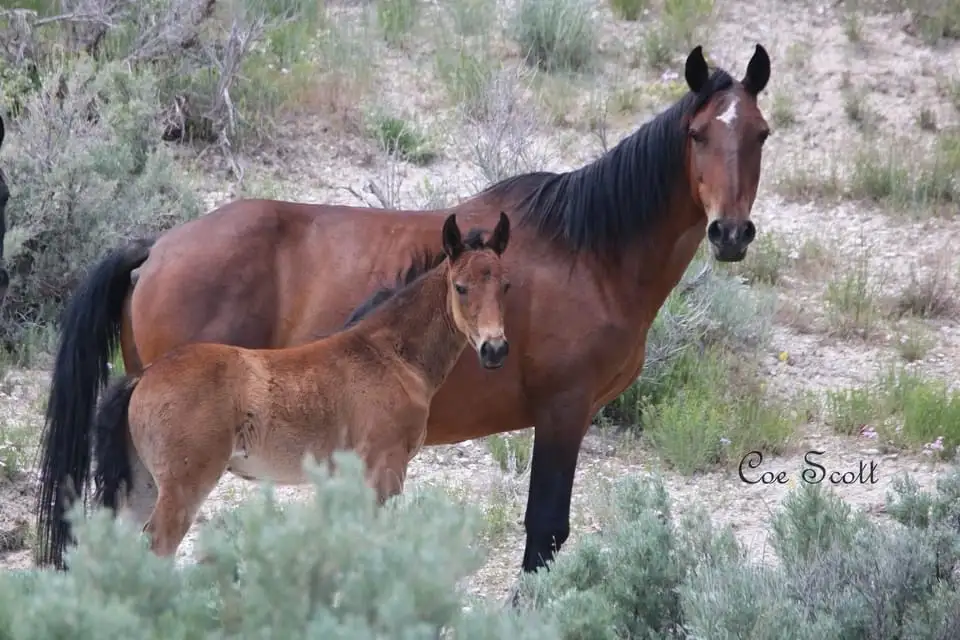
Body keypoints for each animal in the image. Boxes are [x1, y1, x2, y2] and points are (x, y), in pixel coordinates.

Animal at [89, 213, 511, 558]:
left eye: (506, 285)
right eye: (460, 287)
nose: (495, 349)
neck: (389, 355)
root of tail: (144, 376)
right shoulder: (386, 467)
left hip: (142, 485)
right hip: (182, 487)